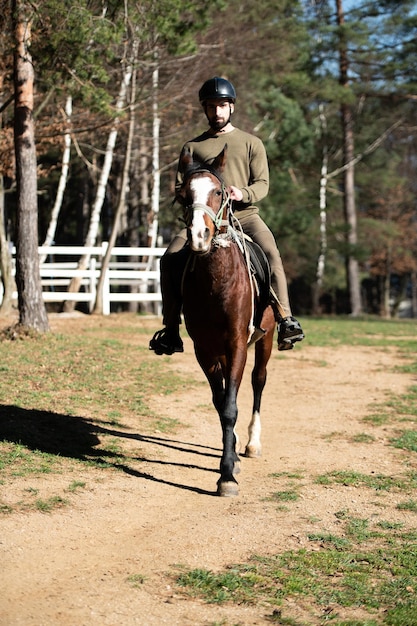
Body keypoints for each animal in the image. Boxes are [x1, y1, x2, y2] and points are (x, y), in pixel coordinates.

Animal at [176, 146, 276, 492]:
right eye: (182, 194)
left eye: (219, 192)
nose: (199, 235)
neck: (216, 281)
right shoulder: (204, 350)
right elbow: (221, 405)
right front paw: (227, 463)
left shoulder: (237, 345)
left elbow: (231, 406)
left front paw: (228, 473)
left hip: (266, 341)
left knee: (259, 382)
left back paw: (253, 443)